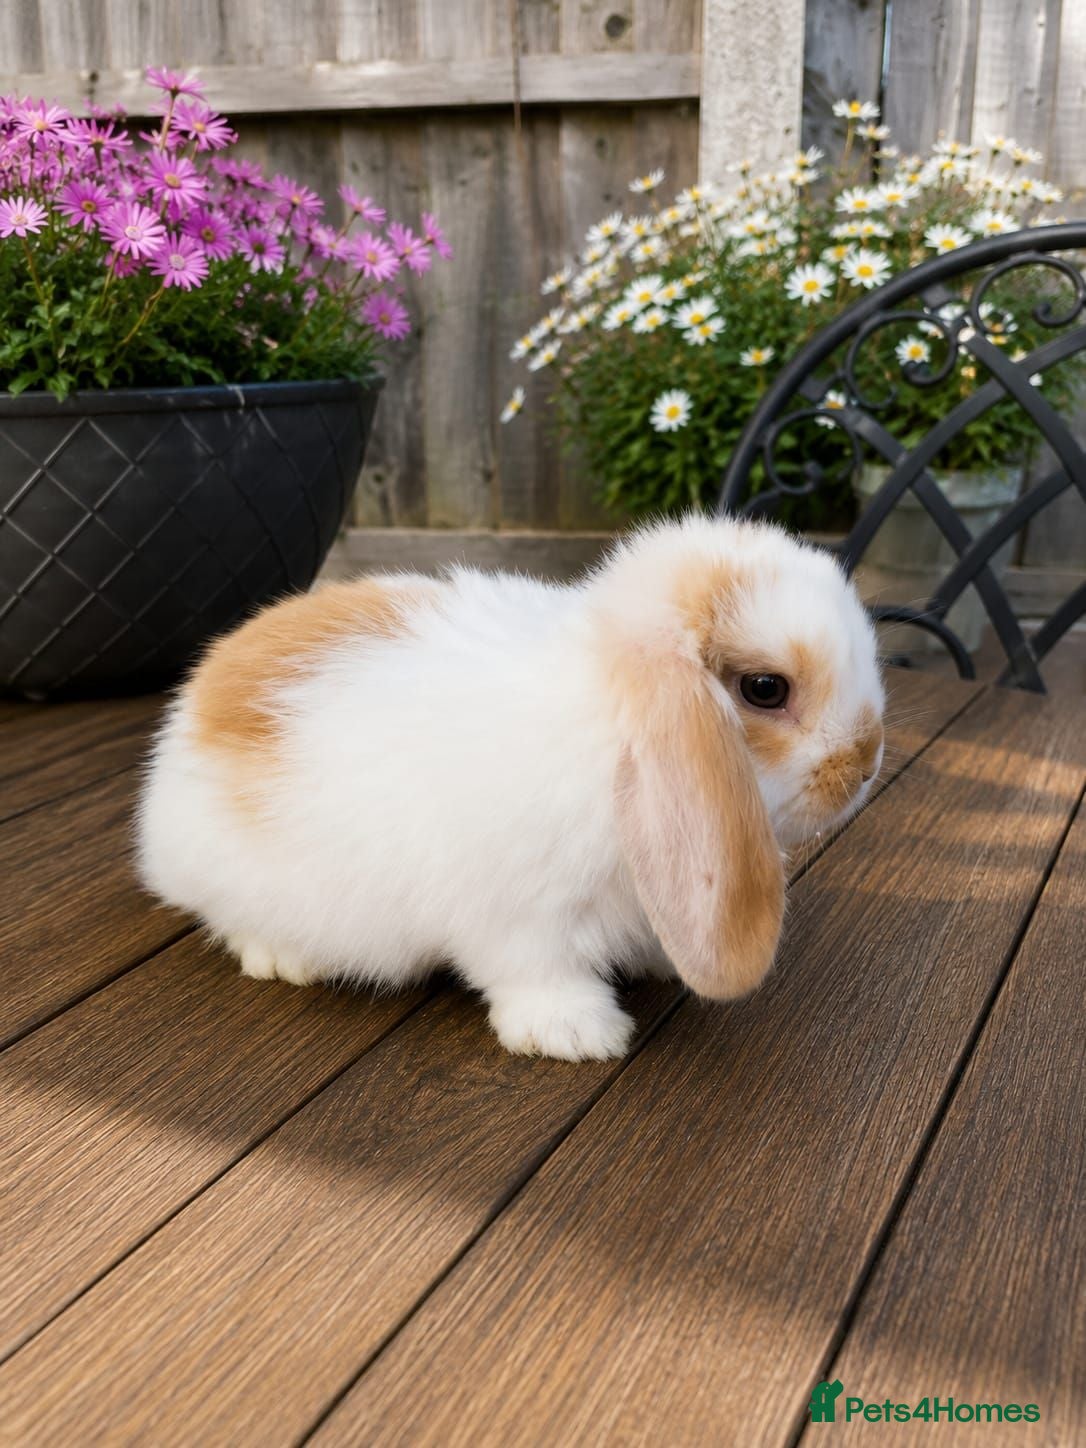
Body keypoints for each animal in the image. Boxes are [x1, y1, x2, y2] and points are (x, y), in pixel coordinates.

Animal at [136, 514, 885, 1061]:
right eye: (765, 688)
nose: (867, 761)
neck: (616, 729)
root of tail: (188, 714)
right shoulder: (521, 919)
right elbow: (536, 973)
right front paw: (580, 1035)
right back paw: (284, 959)